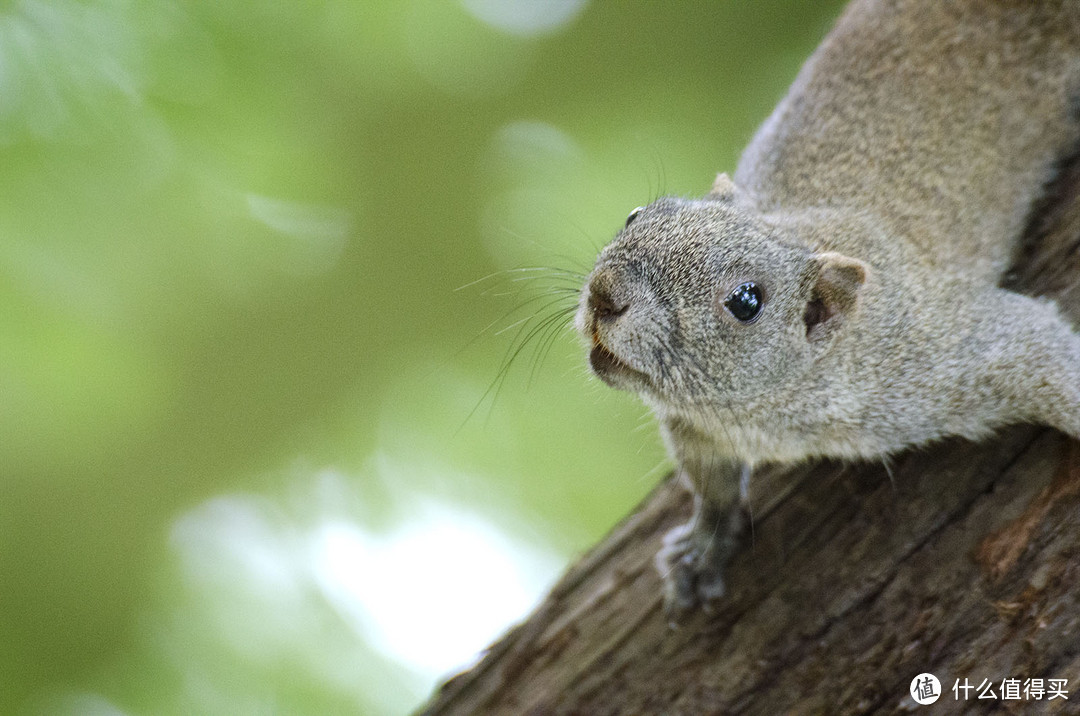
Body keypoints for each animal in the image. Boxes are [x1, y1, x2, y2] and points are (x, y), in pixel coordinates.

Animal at [578, 0, 1080, 617]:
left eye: (746, 301)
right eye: (635, 215)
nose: (604, 293)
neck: (760, 412)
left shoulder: (952, 354)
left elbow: (1042, 351)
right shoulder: (694, 426)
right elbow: (710, 485)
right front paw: (703, 545)